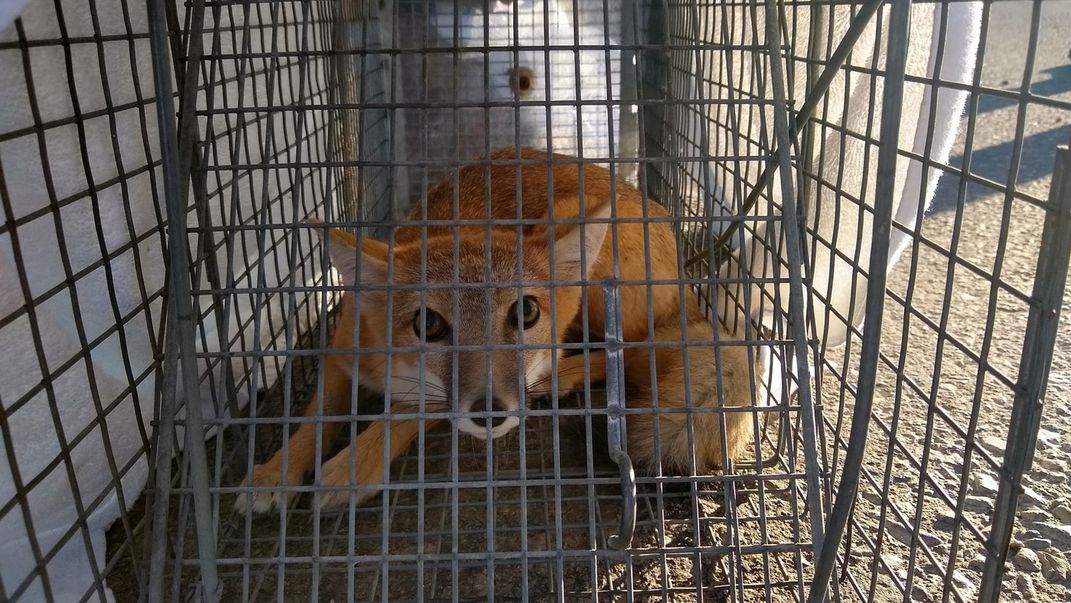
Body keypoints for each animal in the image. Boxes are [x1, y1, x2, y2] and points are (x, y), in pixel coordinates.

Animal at [234, 147, 753, 514]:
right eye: (428, 324)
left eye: (524, 313)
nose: (491, 412)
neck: (396, 370)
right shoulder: (343, 356)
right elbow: (310, 422)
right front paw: (275, 473)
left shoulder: (431, 402)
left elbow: (400, 415)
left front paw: (351, 466)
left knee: (622, 349)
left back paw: (559, 377)